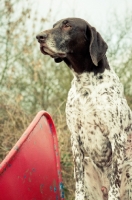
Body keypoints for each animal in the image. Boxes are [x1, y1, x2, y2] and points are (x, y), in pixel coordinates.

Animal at [36, 18, 132, 199]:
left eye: (67, 25)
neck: (86, 85)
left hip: (129, 167)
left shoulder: (117, 138)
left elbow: (115, 183)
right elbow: (78, 183)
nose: (39, 37)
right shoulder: (75, 138)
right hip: (88, 165)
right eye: (53, 26)